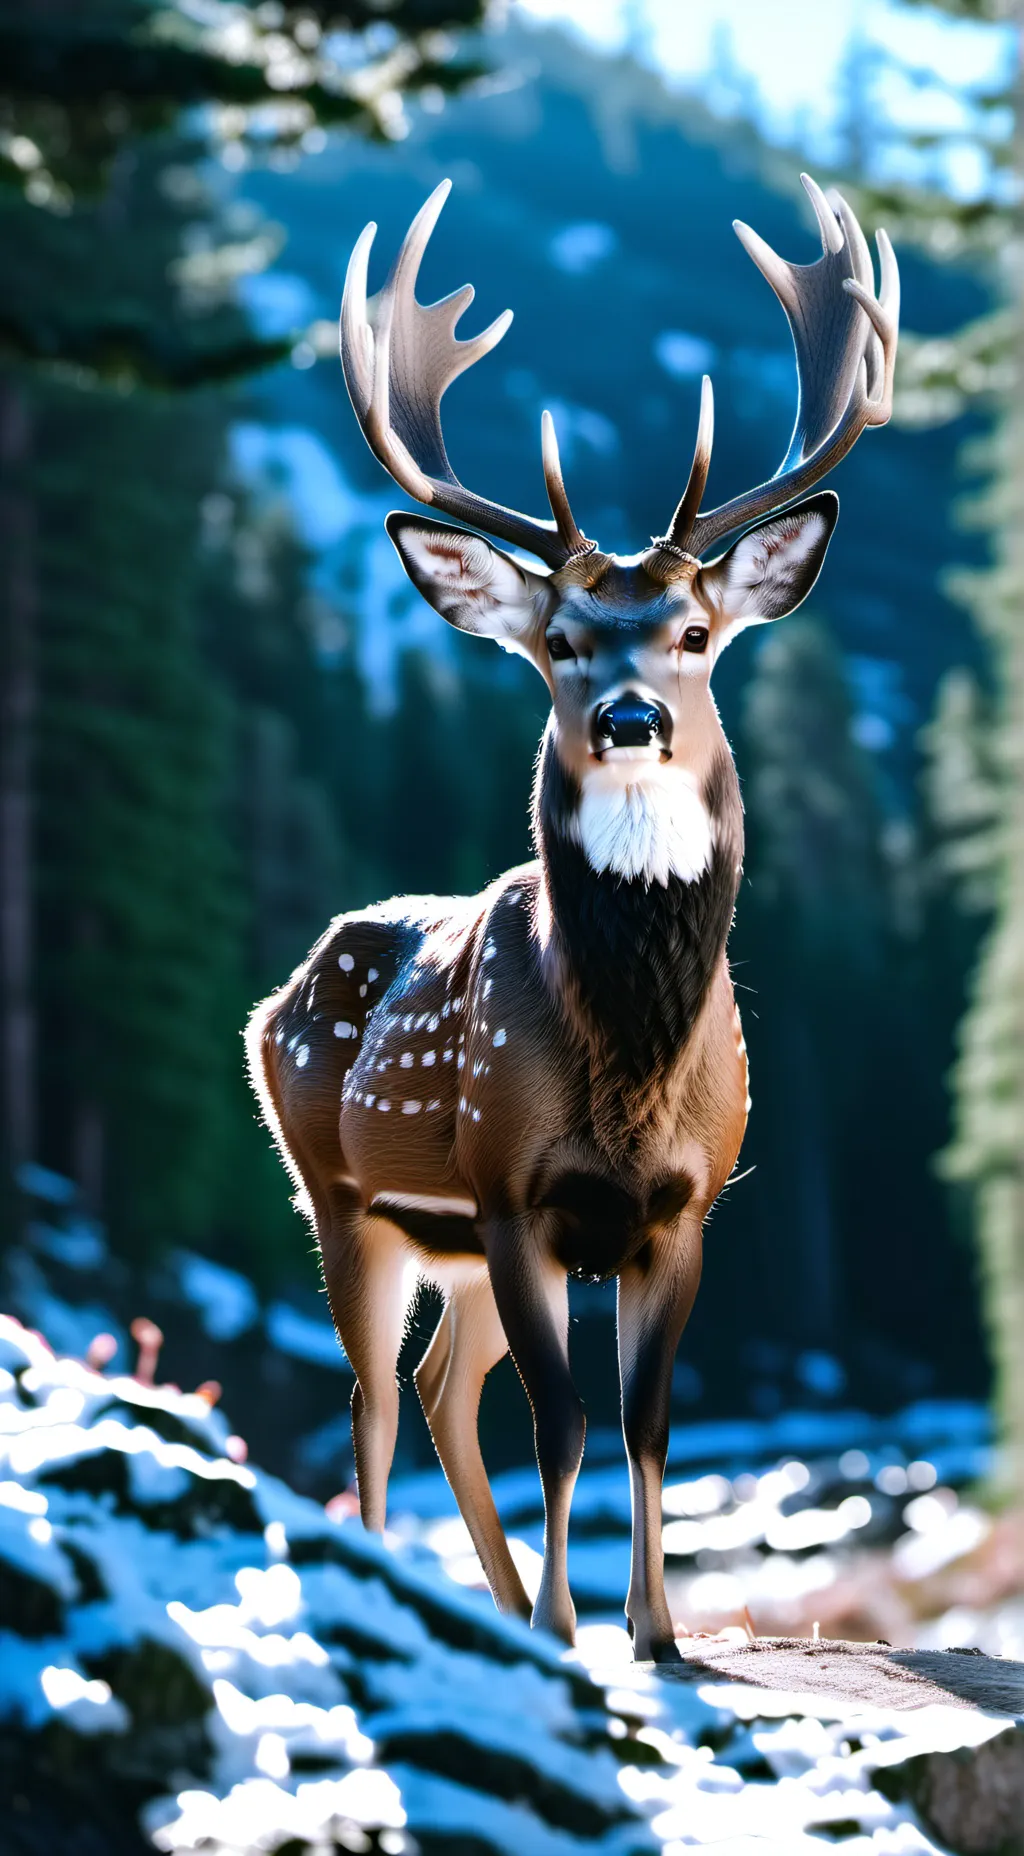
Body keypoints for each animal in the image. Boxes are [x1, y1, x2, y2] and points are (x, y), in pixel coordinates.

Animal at [247, 173, 898, 1661]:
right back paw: (437, 1597)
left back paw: (496, 1609)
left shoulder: (689, 1205)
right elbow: (566, 1422)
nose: (632, 718)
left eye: (698, 634)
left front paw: (651, 1630)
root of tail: (274, 997)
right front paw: (573, 1619)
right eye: (557, 642)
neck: (630, 1075)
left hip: (447, 1248)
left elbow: (648, 1421)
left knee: (441, 1384)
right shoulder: (508, 1188)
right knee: (376, 1402)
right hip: (348, 1195)